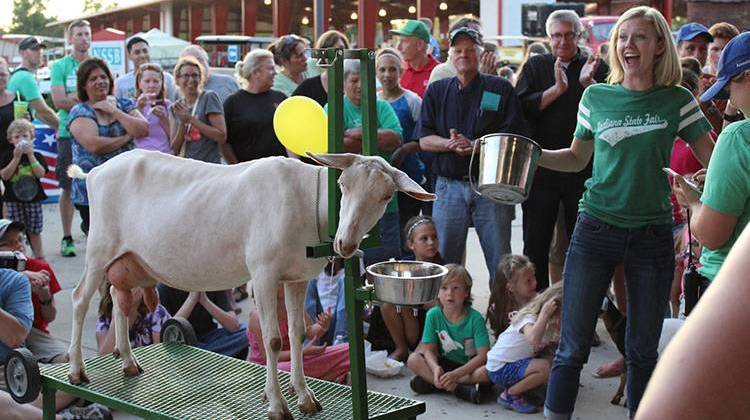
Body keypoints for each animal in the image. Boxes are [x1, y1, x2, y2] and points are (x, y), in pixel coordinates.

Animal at [67, 149, 438, 418]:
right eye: (342, 185)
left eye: (386, 196)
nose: (345, 243)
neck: (305, 201)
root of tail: (96, 172)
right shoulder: (263, 272)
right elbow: (273, 341)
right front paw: (277, 405)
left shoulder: (297, 277)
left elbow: (297, 334)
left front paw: (305, 397)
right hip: (99, 247)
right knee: (80, 298)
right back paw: (77, 372)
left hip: (131, 260)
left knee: (119, 297)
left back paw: (128, 363)